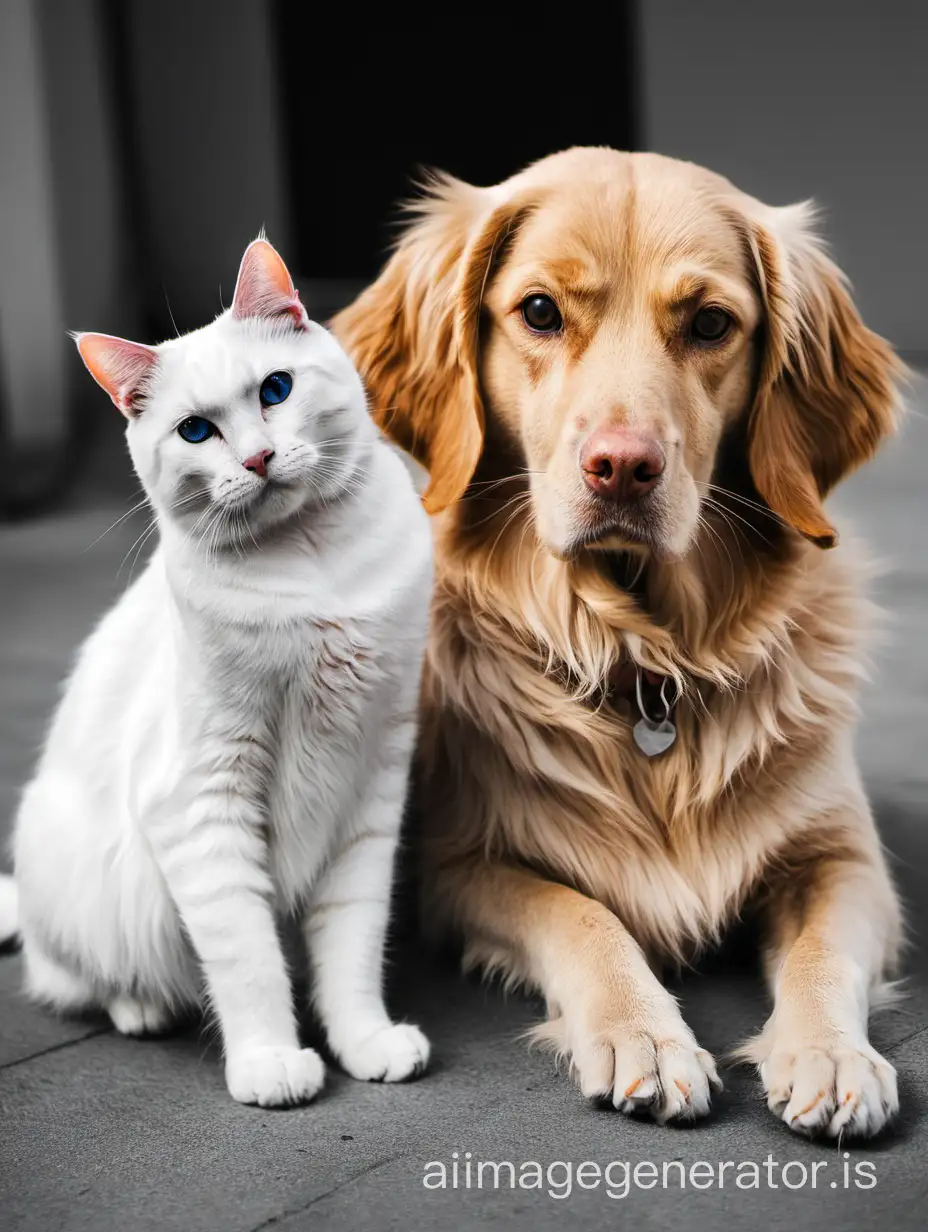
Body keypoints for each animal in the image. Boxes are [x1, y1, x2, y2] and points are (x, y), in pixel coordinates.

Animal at [0, 237, 433, 1108]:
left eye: (276, 390)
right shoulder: (202, 800)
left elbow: (353, 944)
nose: (259, 458)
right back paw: (141, 1007)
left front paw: (365, 1043)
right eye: (196, 431)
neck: (315, 569)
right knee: (75, 978)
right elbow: (247, 956)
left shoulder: (371, 785)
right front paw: (271, 1062)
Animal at [332, 149, 907, 1138]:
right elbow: (582, 917)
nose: (623, 467)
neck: (646, 661)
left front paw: (831, 1054)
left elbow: (824, 951)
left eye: (711, 323)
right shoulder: (462, 865)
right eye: (539, 311)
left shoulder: (844, 857)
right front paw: (646, 1034)